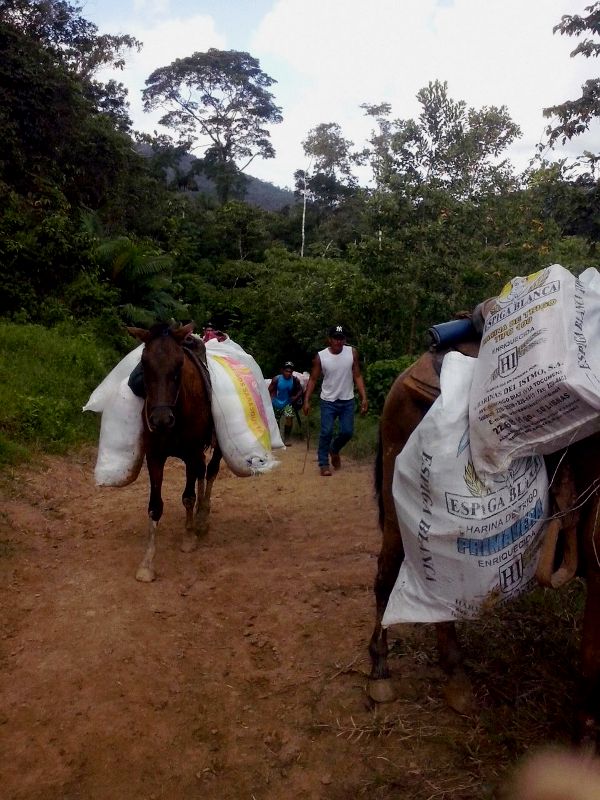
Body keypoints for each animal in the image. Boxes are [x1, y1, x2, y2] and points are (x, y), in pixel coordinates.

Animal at [127, 322, 222, 582]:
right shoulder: (154, 457)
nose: (161, 419)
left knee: (210, 471)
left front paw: (188, 537)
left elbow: (188, 496)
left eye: (179, 365)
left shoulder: (190, 453)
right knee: (202, 471)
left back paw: (202, 518)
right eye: (144, 363)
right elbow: (155, 506)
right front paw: (147, 563)